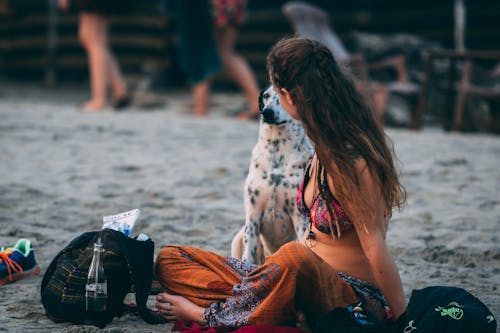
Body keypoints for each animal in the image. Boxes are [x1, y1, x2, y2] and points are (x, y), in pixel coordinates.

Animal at [230, 86, 312, 264]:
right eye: (266, 96)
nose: (267, 112)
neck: (277, 151)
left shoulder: (299, 217)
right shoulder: (253, 216)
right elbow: (248, 257)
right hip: (238, 238)